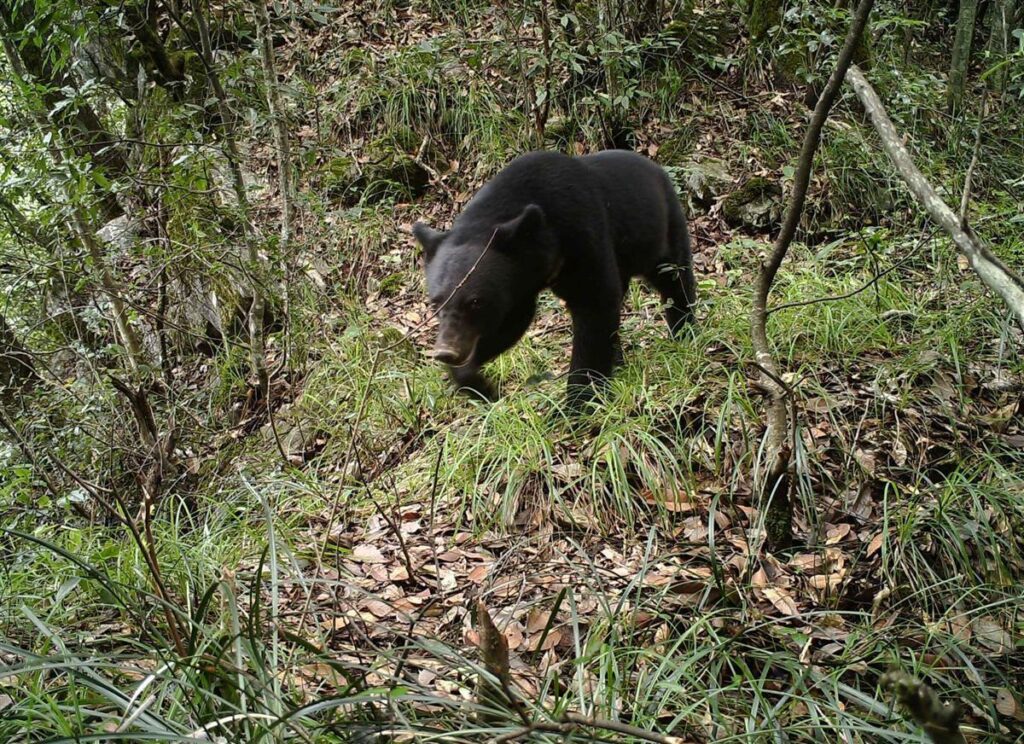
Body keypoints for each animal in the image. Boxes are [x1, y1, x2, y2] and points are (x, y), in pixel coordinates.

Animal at [413, 152, 696, 407]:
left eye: (475, 301)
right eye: (435, 302)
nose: (446, 352)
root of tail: (656, 167)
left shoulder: (584, 234)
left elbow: (595, 307)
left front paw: (578, 402)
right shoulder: (518, 286)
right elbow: (509, 326)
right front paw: (479, 384)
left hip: (661, 229)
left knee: (674, 278)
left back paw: (684, 332)